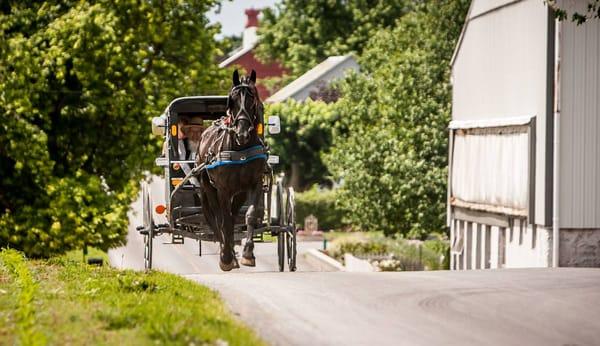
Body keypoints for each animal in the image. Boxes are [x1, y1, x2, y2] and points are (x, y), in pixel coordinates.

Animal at [197, 69, 264, 270]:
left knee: (233, 217)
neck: (240, 149)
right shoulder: (223, 190)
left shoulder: (255, 184)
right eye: (232, 100)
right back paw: (226, 253)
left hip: (239, 192)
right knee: (219, 219)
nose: (242, 133)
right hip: (209, 188)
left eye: (252, 99)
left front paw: (248, 253)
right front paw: (226, 257)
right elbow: (224, 222)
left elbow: (250, 215)